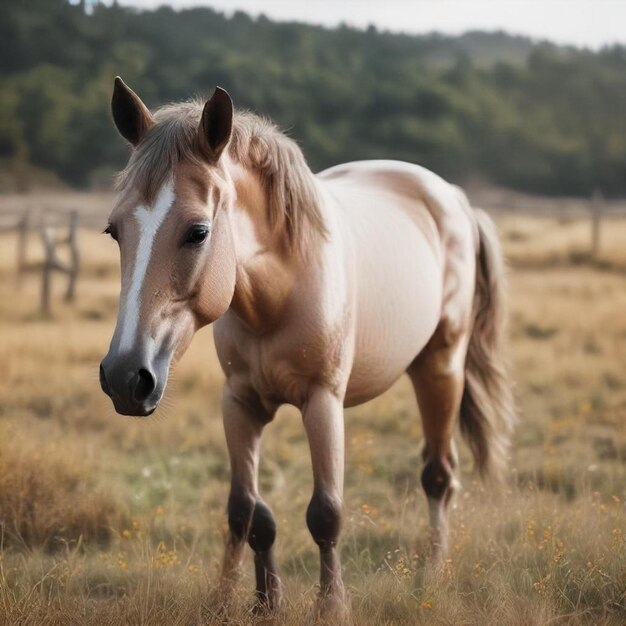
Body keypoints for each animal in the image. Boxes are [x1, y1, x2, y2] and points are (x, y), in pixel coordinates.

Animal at [101, 78, 512, 620]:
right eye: (114, 231)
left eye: (198, 231)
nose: (125, 377)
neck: (278, 291)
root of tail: (455, 200)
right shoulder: (239, 403)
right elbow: (246, 511)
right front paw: (241, 601)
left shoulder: (322, 402)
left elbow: (325, 514)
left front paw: (332, 607)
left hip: (440, 367)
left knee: (439, 476)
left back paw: (429, 575)